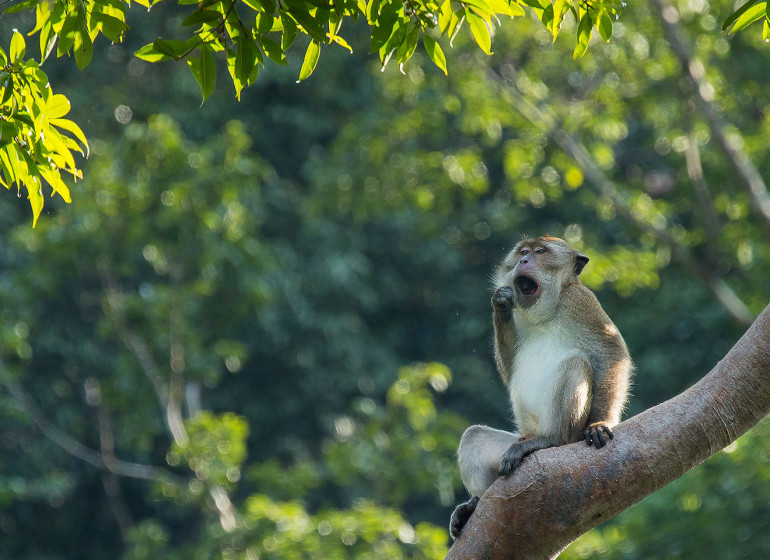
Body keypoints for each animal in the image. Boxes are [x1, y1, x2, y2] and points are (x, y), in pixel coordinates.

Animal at [448, 235, 632, 540]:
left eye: (540, 252)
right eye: (523, 252)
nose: (524, 260)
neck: (544, 313)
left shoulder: (580, 302)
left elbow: (611, 353)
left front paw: (601, 423)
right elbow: (510, 370)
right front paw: (500, 305)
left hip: (568, 434)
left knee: (575, 364)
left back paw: (550, 439)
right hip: (513, 444)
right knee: (474, 437)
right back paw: (474, 505)